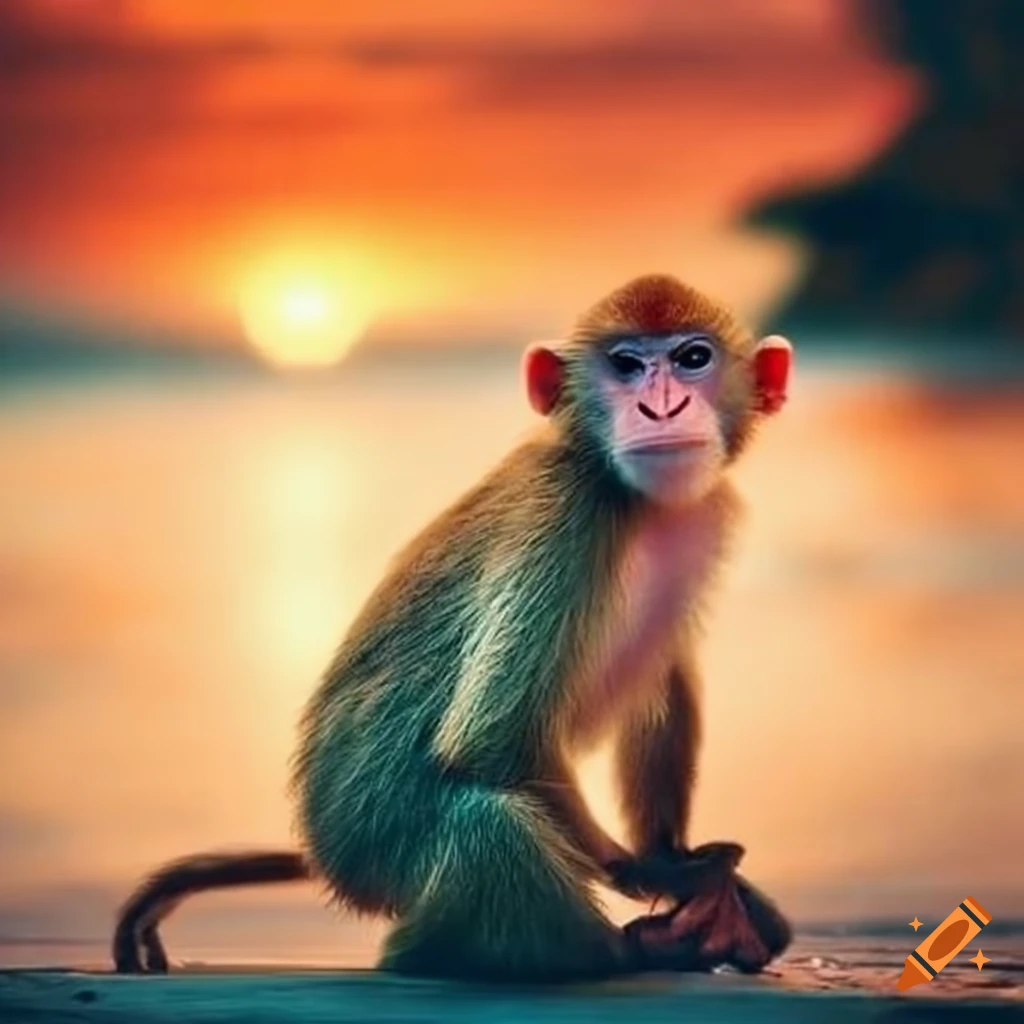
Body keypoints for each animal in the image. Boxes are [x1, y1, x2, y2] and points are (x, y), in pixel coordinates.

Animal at [113, 274, 794, 982]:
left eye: (693, 358)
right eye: (627, 365)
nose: (662, 407)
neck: (628, 492)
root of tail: (325, 854)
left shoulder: (705, 514)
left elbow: (660, 679)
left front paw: (669, 855)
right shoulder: (567, 510)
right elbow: (488, 742)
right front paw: (660, 876)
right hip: (374, 844)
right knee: (483, 816)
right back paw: (585, 950)